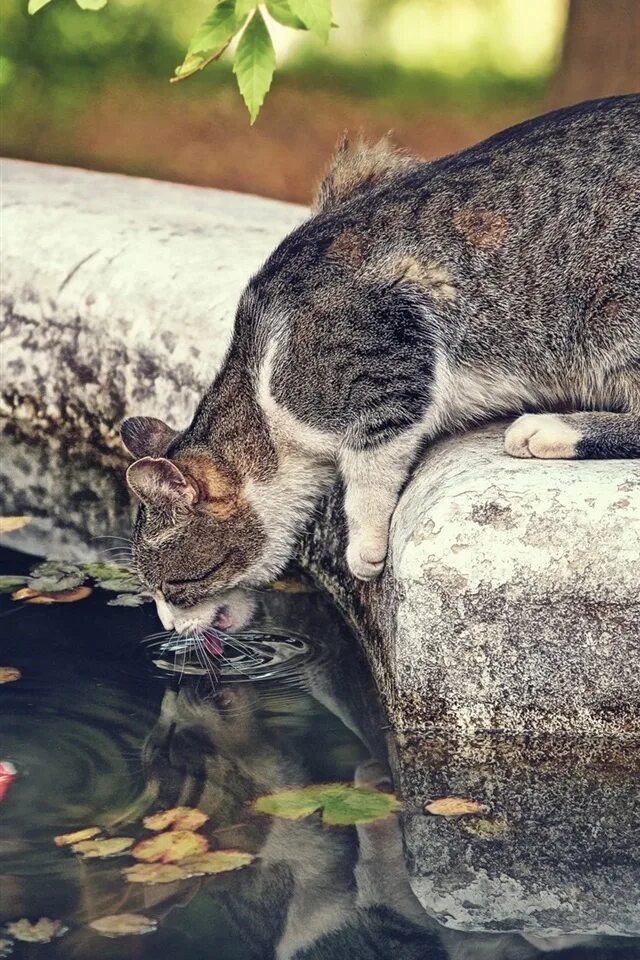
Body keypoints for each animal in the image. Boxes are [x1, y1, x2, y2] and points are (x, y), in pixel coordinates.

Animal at [121, 94, 640, 632]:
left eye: (173, 588)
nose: (167, 626)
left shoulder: (389, 358)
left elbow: (370, 462)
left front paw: (364, 547)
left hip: (613, 312)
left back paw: (549, 429)